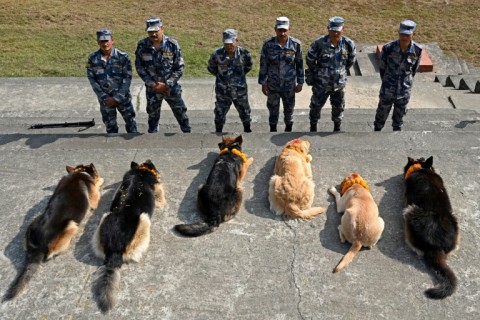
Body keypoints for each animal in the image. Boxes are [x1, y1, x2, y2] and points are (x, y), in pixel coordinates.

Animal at [3, 164, 103, 302]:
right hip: (71, 225)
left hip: (33, 220)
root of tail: (37, 247)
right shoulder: (94, 200)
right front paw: (100, 180)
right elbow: (97, 187)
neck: (80, 173)